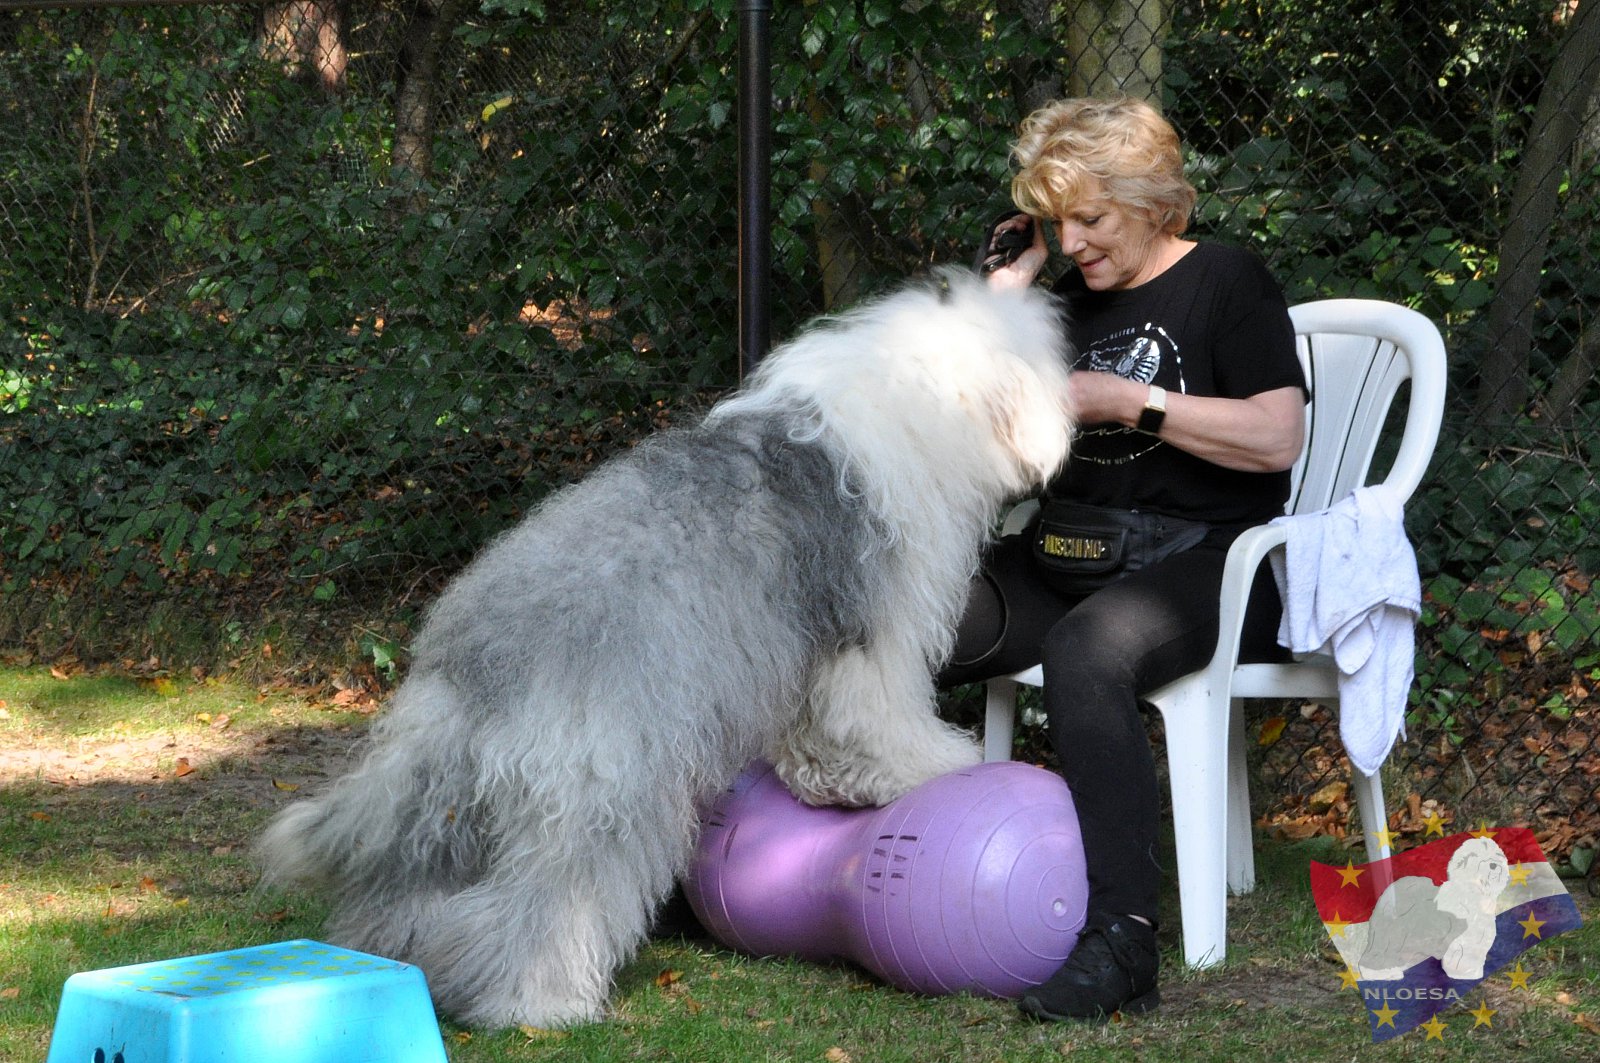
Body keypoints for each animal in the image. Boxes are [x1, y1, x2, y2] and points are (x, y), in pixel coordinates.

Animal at [255, 268, 1075, 1029]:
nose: (1067, 432)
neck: (925, 391)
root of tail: (475, 662)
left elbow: (815, 737)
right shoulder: (872, 633)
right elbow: (875, 721)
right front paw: (937, 762)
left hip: (457, 803)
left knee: (418, 890)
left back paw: (387, 971)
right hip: (600, 782)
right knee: (555, 901)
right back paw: (540, 1002)